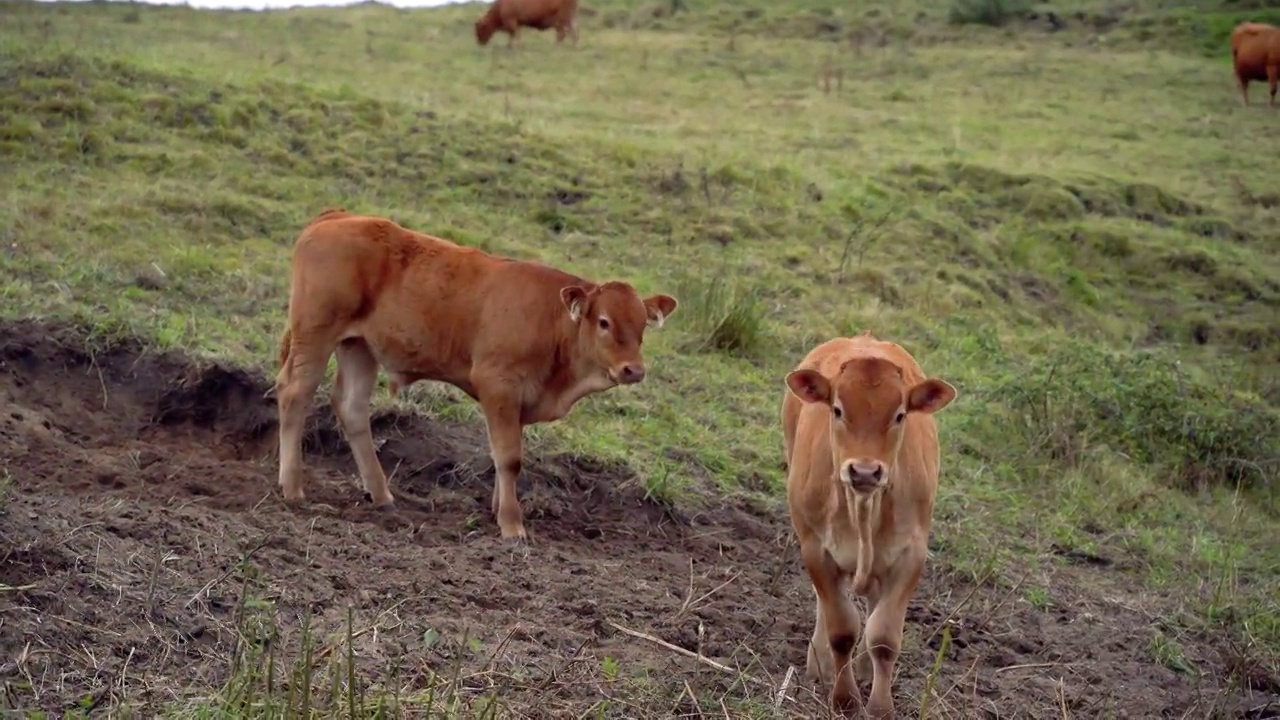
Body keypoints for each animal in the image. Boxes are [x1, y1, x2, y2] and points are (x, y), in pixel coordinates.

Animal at [276, 207, 680, 538]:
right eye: (604, 322)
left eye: (642, 325)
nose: (633, 369)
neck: (552, 323)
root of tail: (337, 217)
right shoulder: (498, 384)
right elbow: (509, 457)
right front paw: (512, 525)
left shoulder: (517, 400)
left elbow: (506, 456)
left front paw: (498, 509)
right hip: (315, 334)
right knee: (295, 394)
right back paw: (293, 488)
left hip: (358, 347)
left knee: (352, 408)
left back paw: (381, 494)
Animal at [773, 333, 957, 717]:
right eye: (837, 409)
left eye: (900, 415)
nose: (865, 472)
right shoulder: (815, 549)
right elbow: (842, 629)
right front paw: (844, 698)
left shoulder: (911, 554)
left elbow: (883, 638)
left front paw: (880, 706)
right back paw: (821, 663)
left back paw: (862, 669)